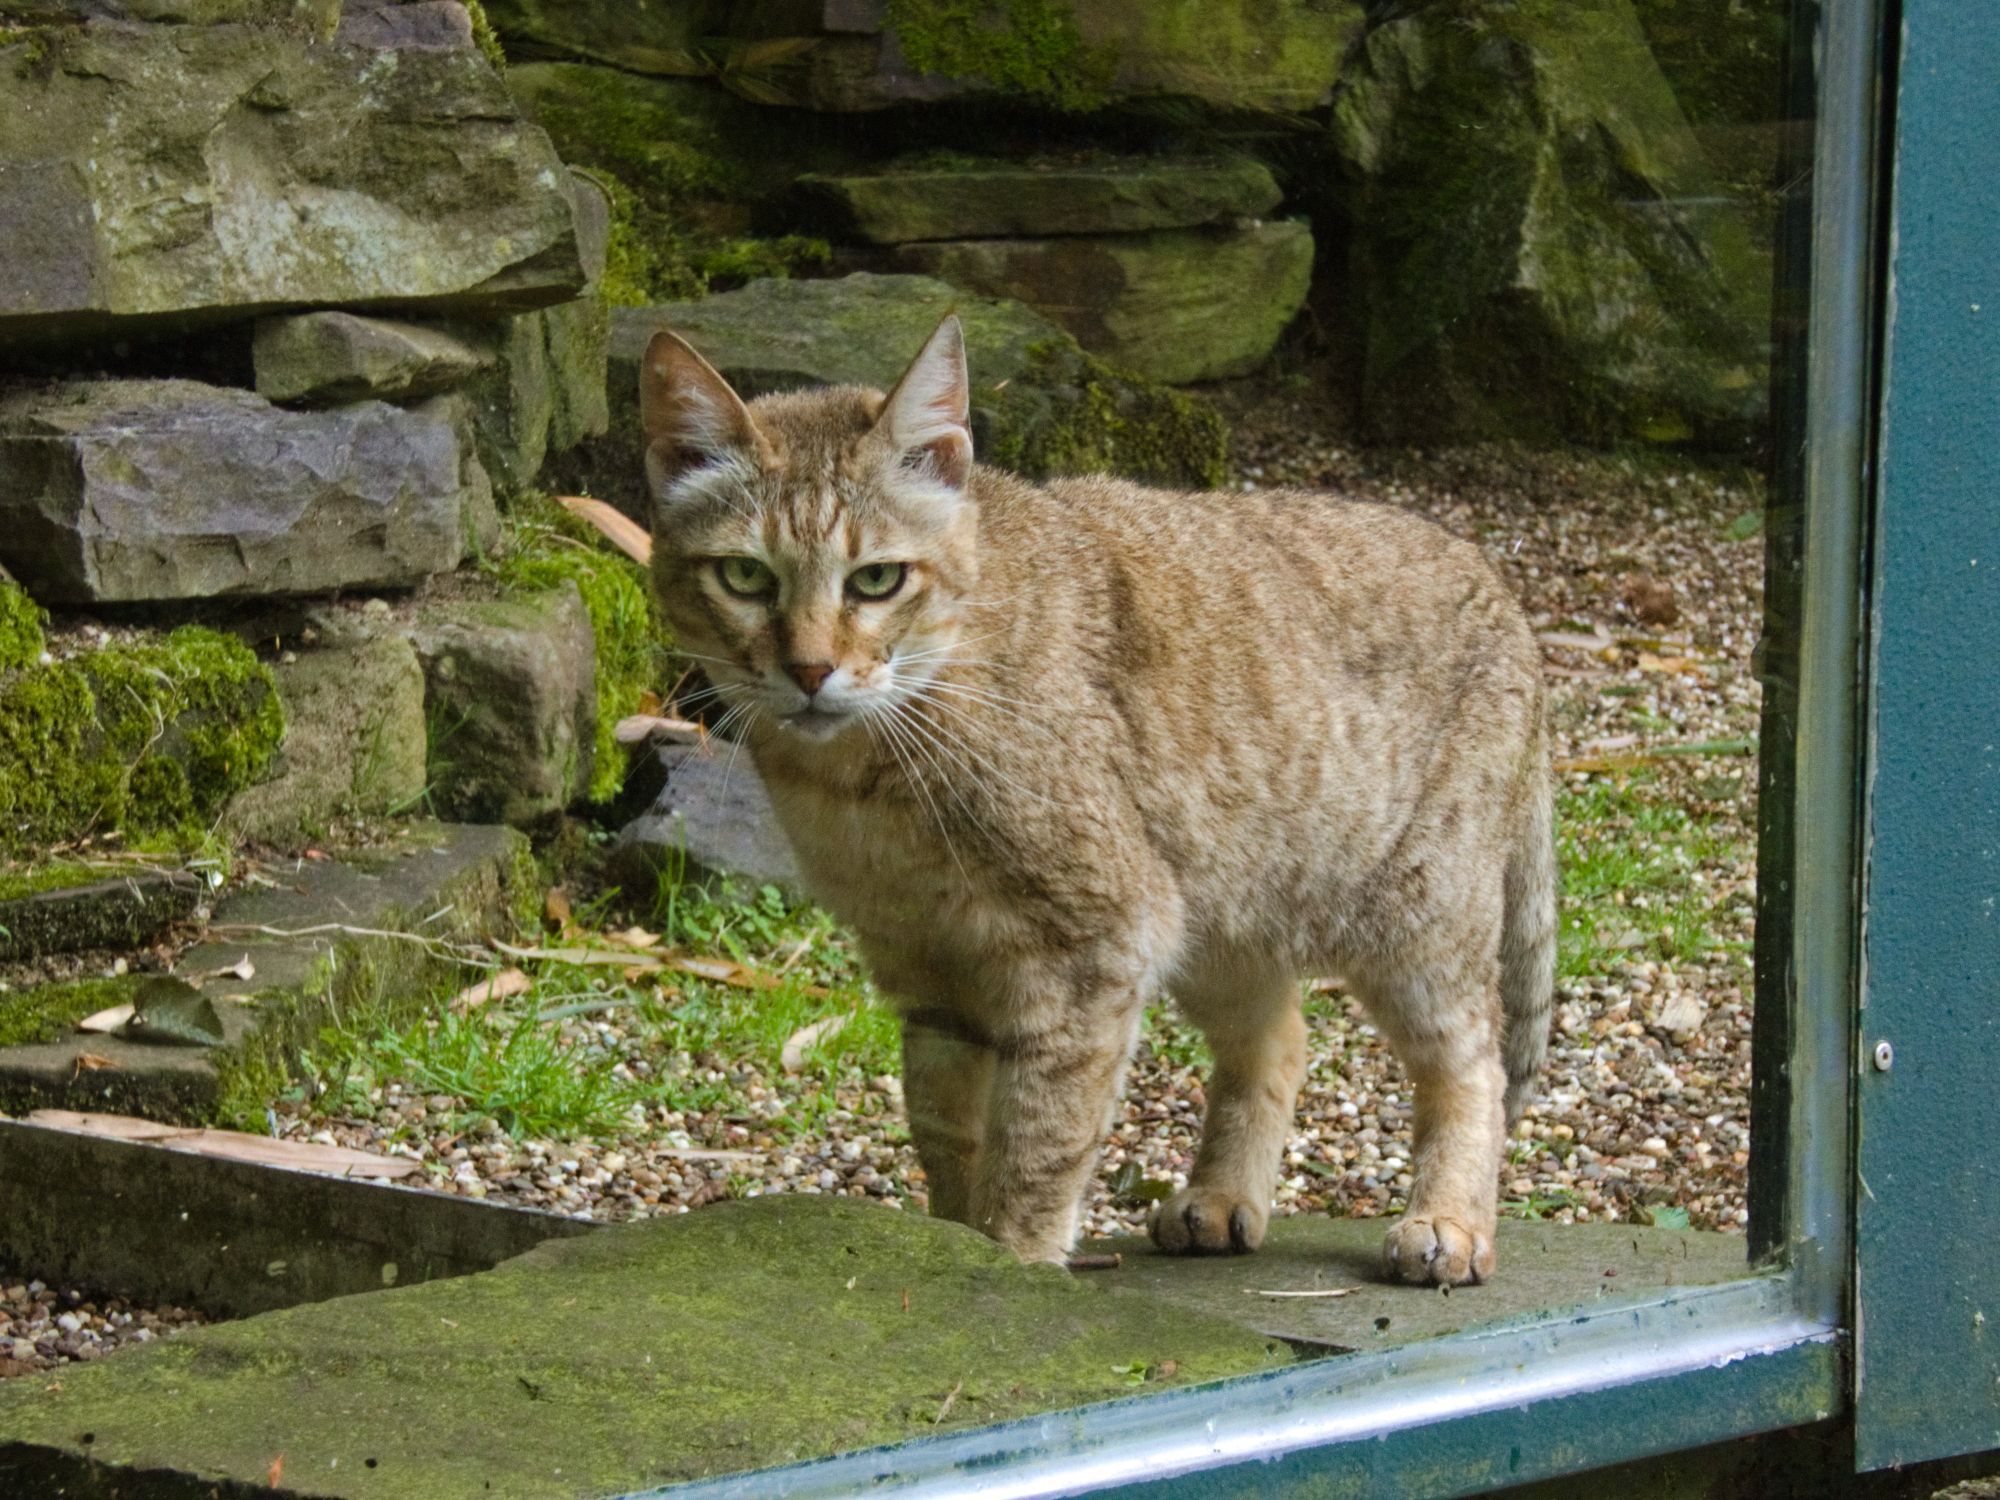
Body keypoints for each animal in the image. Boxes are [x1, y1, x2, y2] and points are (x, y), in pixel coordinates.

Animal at [632, 312, 1552, 1288]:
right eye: (745, 577)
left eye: (877, 580)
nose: (810, 670)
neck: (872, 776)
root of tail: (1500, 588)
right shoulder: (930, 967)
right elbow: (948, 1134)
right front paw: (949, 1244)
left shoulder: (1092, 947)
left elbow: (1039, 1141)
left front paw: (1016, 1268)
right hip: (1222, 914)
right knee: (1279, 1038)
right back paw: (1223, 1196)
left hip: (1415, 917)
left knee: (1475, 1062)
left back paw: (1448, 1221)